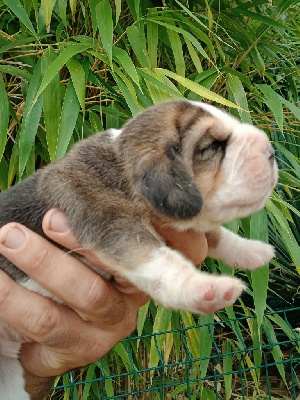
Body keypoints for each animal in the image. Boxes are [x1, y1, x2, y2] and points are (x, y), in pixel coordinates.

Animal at [0, 100, 278, 396]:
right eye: (214, 145)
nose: (271, 152)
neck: (120, 164)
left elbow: (214, 235)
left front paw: (252, 250)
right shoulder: (109, 219)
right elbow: (159, 260)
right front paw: (204, 288)